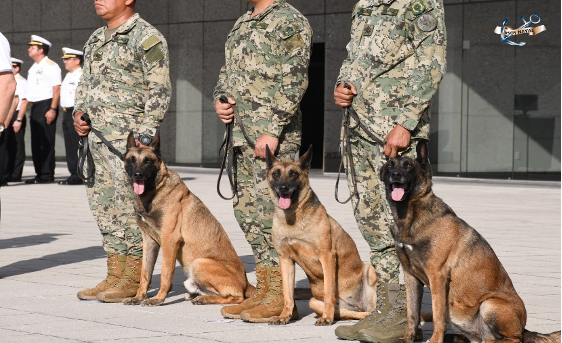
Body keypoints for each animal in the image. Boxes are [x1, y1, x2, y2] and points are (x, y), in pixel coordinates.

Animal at [123, 133, 255, 308]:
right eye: (131, 159)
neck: (154, 192)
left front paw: (158, 299)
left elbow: (165, 274)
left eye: (148, 161)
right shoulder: (149, 241)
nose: (137, 175)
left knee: (236, 297)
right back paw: (197, 295)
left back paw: (204, 299)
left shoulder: (170, 241)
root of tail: (246, 283)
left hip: (199, 263)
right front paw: (138, 297)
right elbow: (145, 273)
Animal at [264, 146, 376, 328]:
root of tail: (354, 305)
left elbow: (329, 291)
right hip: (314, 302)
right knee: (349, 314)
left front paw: (327, 318)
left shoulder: (327, 256)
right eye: (276, 173)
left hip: (369, 270)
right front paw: (284, 316)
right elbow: (288, 294)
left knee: (369, 310)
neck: (293, 218)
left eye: (293, 174)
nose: (283, 188)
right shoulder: (285, 259)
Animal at [378, 140, 556, 343]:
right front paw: (408, 338)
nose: (395, 175)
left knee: (514, 339)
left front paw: (435, 339)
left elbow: (438, 315)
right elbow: (412, 313)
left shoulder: (437, 276)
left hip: (489, 304)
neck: (411, 214)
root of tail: (524, 328)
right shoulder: (411, 276)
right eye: (390, 166)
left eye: (408, 165)